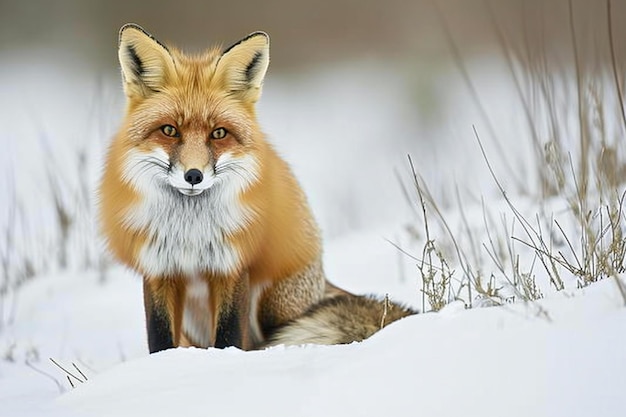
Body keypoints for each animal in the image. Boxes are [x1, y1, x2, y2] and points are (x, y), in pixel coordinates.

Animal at [98, 24, 414, 352]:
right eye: (169, 130)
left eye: (219, 133)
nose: (194, 176)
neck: (191, 233)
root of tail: (323, 278)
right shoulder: (158, 268)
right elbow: (159, 337)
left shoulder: (233, 267)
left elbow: (228, 334)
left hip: (274, 302)